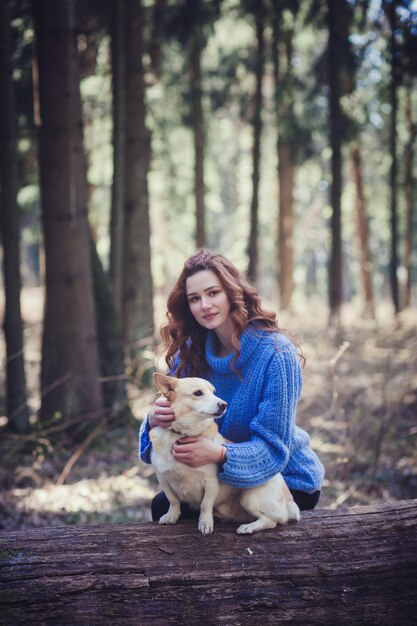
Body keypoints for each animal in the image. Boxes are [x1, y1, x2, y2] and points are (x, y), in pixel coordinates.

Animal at [150, 372, 300, 532]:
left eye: (214, 392)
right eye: (198, 393)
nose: (224, 404)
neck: (181, 434)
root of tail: (287, 493)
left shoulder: (210, 483)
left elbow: (205, 505)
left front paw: (205, 523)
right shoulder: (163, 479)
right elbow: (173, 501)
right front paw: (172, 516)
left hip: (250, 497)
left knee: (272, 520)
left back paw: (249, 527)